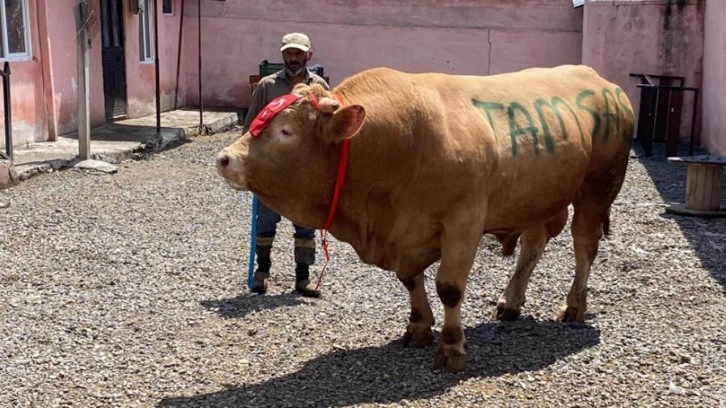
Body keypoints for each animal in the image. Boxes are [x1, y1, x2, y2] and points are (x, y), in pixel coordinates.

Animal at [218, 64, 636, 372]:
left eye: (286, 131)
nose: (225, 159)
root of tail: (601, 80)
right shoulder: (405, 234)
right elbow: (410, 281)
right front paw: (418, 327)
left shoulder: (463, 221)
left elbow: (448, 287)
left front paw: (452, 349)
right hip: (535, 196)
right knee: (533, 245)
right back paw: (511, 302)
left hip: (598, 188)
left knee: (584, 247)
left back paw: (574, 306)